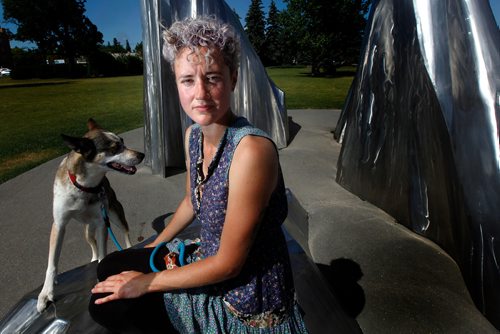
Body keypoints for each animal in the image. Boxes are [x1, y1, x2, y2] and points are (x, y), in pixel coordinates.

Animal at [36, 118, 145, 312]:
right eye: (114, 148)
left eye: (123, 141)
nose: (141, 155)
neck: (84, 187)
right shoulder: (59, 224)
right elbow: (52, 262)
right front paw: (46, 293)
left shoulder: (102, 222)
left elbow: (103, 255)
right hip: (88, 230)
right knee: (92, 244)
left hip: (115, 215)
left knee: (125, 233)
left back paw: (127, 247)